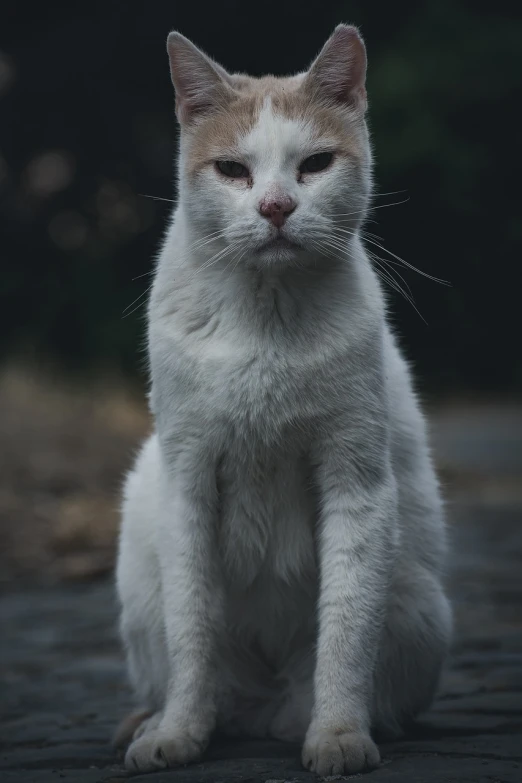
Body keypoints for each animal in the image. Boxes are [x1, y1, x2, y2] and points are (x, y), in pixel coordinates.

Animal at [115, 23, 450, 776]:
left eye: (316, 164)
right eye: (233, 170)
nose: (275, 207)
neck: (266, 321)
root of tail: (263, 706)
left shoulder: (357, 483)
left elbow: (345, 632)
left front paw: (337, 735)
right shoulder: (187, 478)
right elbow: (192, 631)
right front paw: (178, 733)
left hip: (419, 606)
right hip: (141, 545)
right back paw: (153, 722)